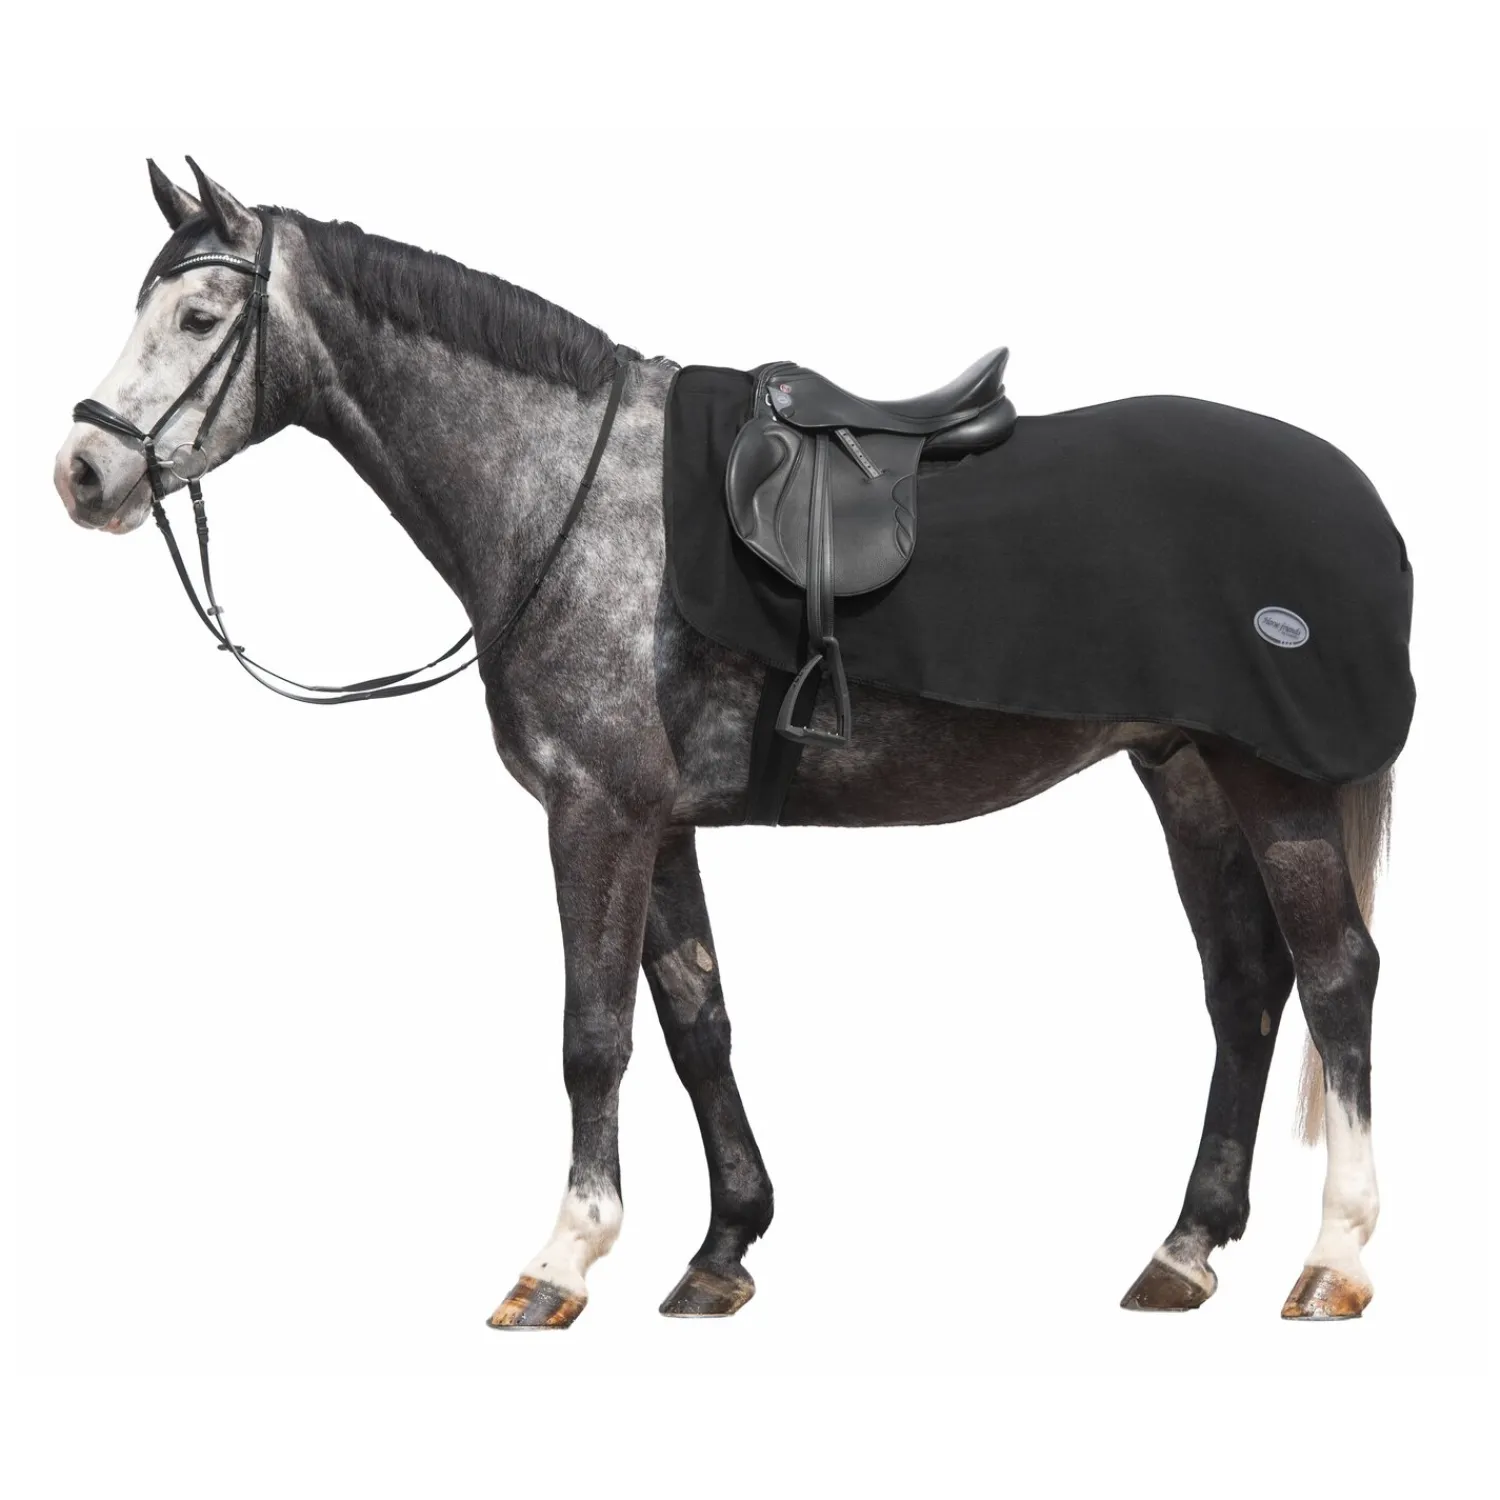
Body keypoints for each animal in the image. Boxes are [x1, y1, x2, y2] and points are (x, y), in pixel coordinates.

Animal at [53, 159, 1406, 1328]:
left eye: (201, 312)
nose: (82, 470)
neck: (570, 490)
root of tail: (1356, 498)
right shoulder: (660, 825)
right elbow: (697, 1025)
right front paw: (720, 1250)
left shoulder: (595, 813)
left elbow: (592, 1036)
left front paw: (562, 1260)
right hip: (1188, 775)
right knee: (1245, 983)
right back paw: (1185, 1248)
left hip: (1272, 784)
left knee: (1338, 976)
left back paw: (1335, 1257)